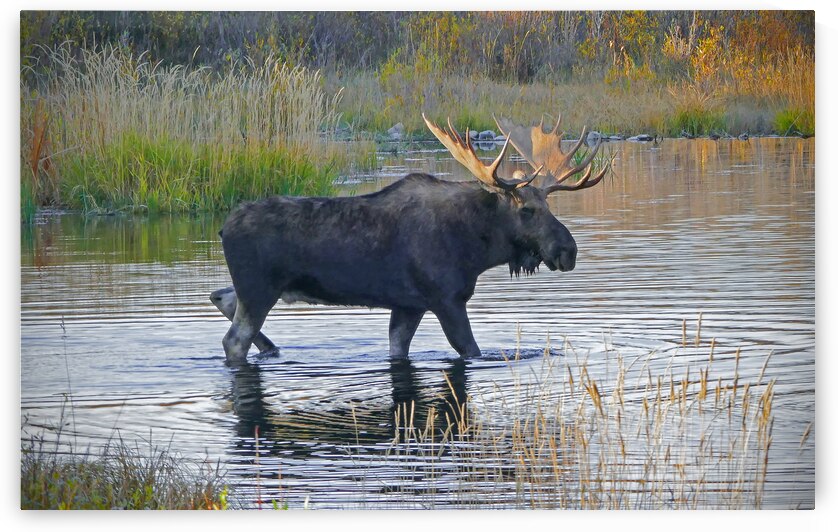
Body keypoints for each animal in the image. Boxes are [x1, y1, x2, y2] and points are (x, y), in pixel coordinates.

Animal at [213, 113, 609, 365]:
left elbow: (398, 349)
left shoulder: (408, 305)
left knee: (221, 296)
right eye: (527, 209)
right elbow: (471, 350)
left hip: (259, 289)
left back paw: (273, 349)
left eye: (548, 205)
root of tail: (223, 227)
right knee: (233, 339)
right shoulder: (446, 298)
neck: (475, 249)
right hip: (260, 289)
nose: (568, 250)